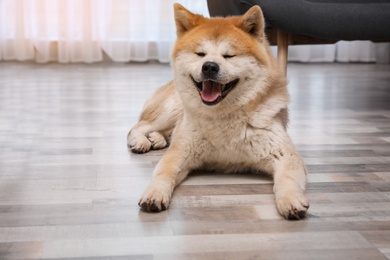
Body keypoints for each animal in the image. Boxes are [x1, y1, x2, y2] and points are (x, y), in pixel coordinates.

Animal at [126, 3, 310, 219]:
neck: (223, 117)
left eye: (229, 55)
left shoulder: (284, 154)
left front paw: (290, 199)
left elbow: (287, 179)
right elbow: (164, 172)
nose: (209, 67)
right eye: (200, 54)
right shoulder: (180, 152)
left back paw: (157, 138)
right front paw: (154, 193)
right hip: (170, 110)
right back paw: (142, 141)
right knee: (137, 127)